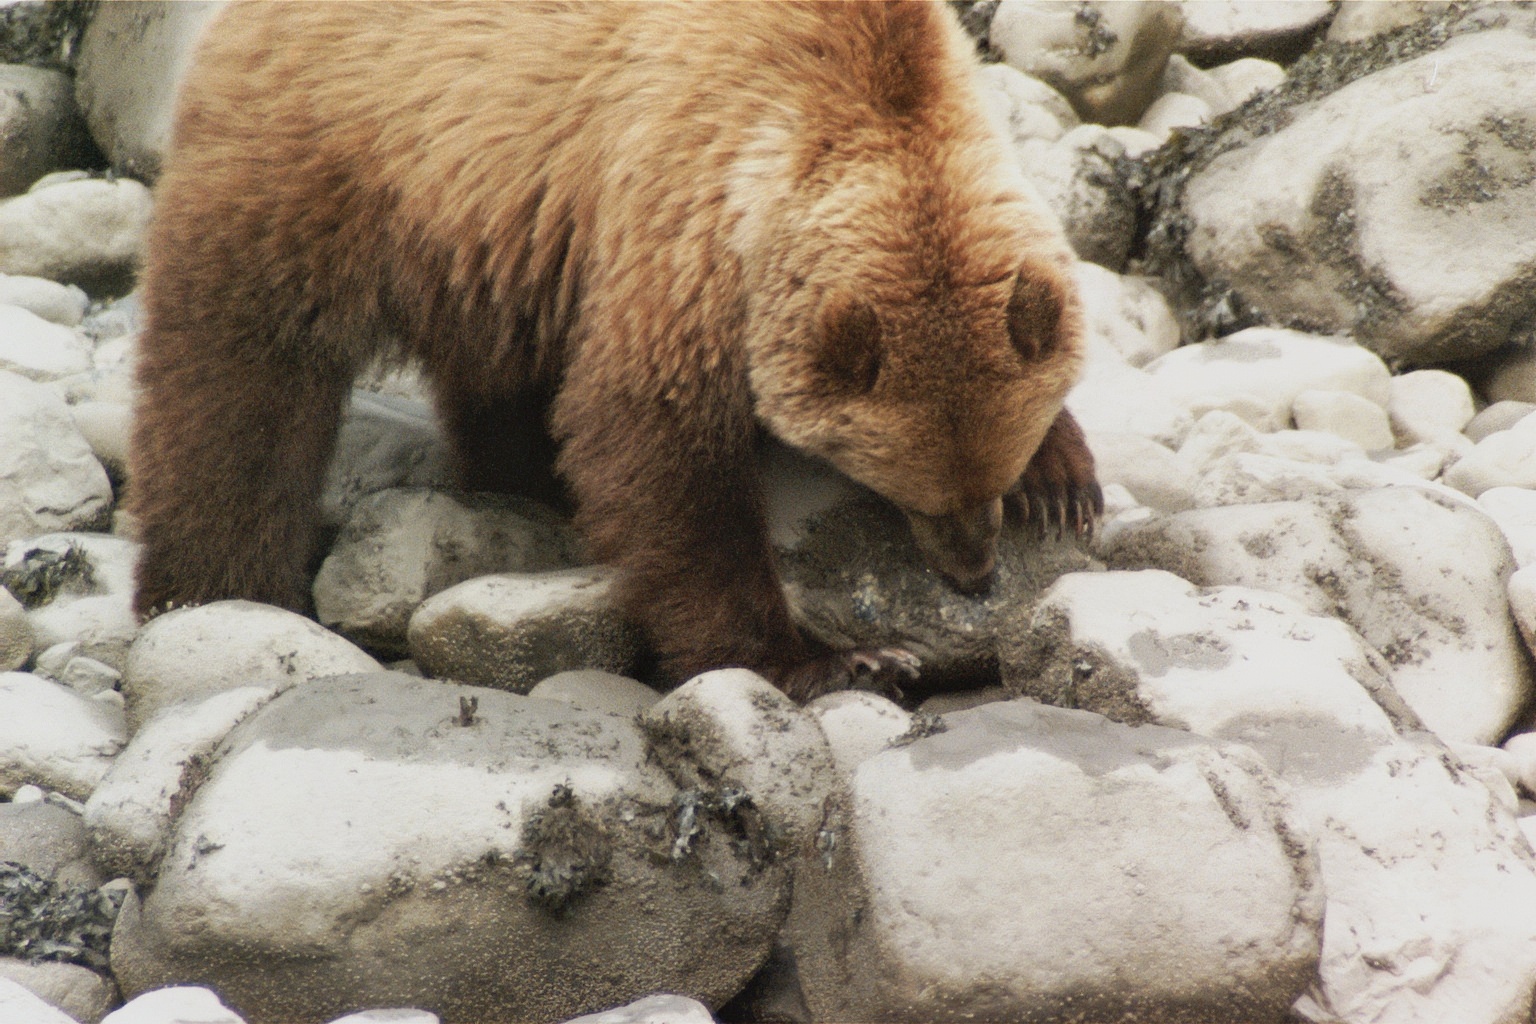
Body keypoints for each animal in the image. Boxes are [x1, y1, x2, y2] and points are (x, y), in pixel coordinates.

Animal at [129, 0, 1093, 700]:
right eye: (914, 490)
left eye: (989, 475)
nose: (973, 572)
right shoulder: (682, 210)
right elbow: (656, 442)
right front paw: (830, 657)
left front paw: (1061, 481)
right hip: (323, 165)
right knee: (238, 388)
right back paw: (209, 591)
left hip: (495, 246)